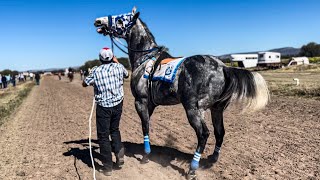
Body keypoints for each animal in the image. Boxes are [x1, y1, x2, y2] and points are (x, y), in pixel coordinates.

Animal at [94, 7, 268, 180]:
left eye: (120, 19)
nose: (99, 21)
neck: (145, 59)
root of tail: (223, 67)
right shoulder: (150, 104)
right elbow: (147, 125)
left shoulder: (140, 101)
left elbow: (145, 126)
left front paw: (145, 156)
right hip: (217, 109)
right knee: (220, 132)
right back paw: (213, 158)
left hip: (194, 109)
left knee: (203, 134)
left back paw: (193, 168)